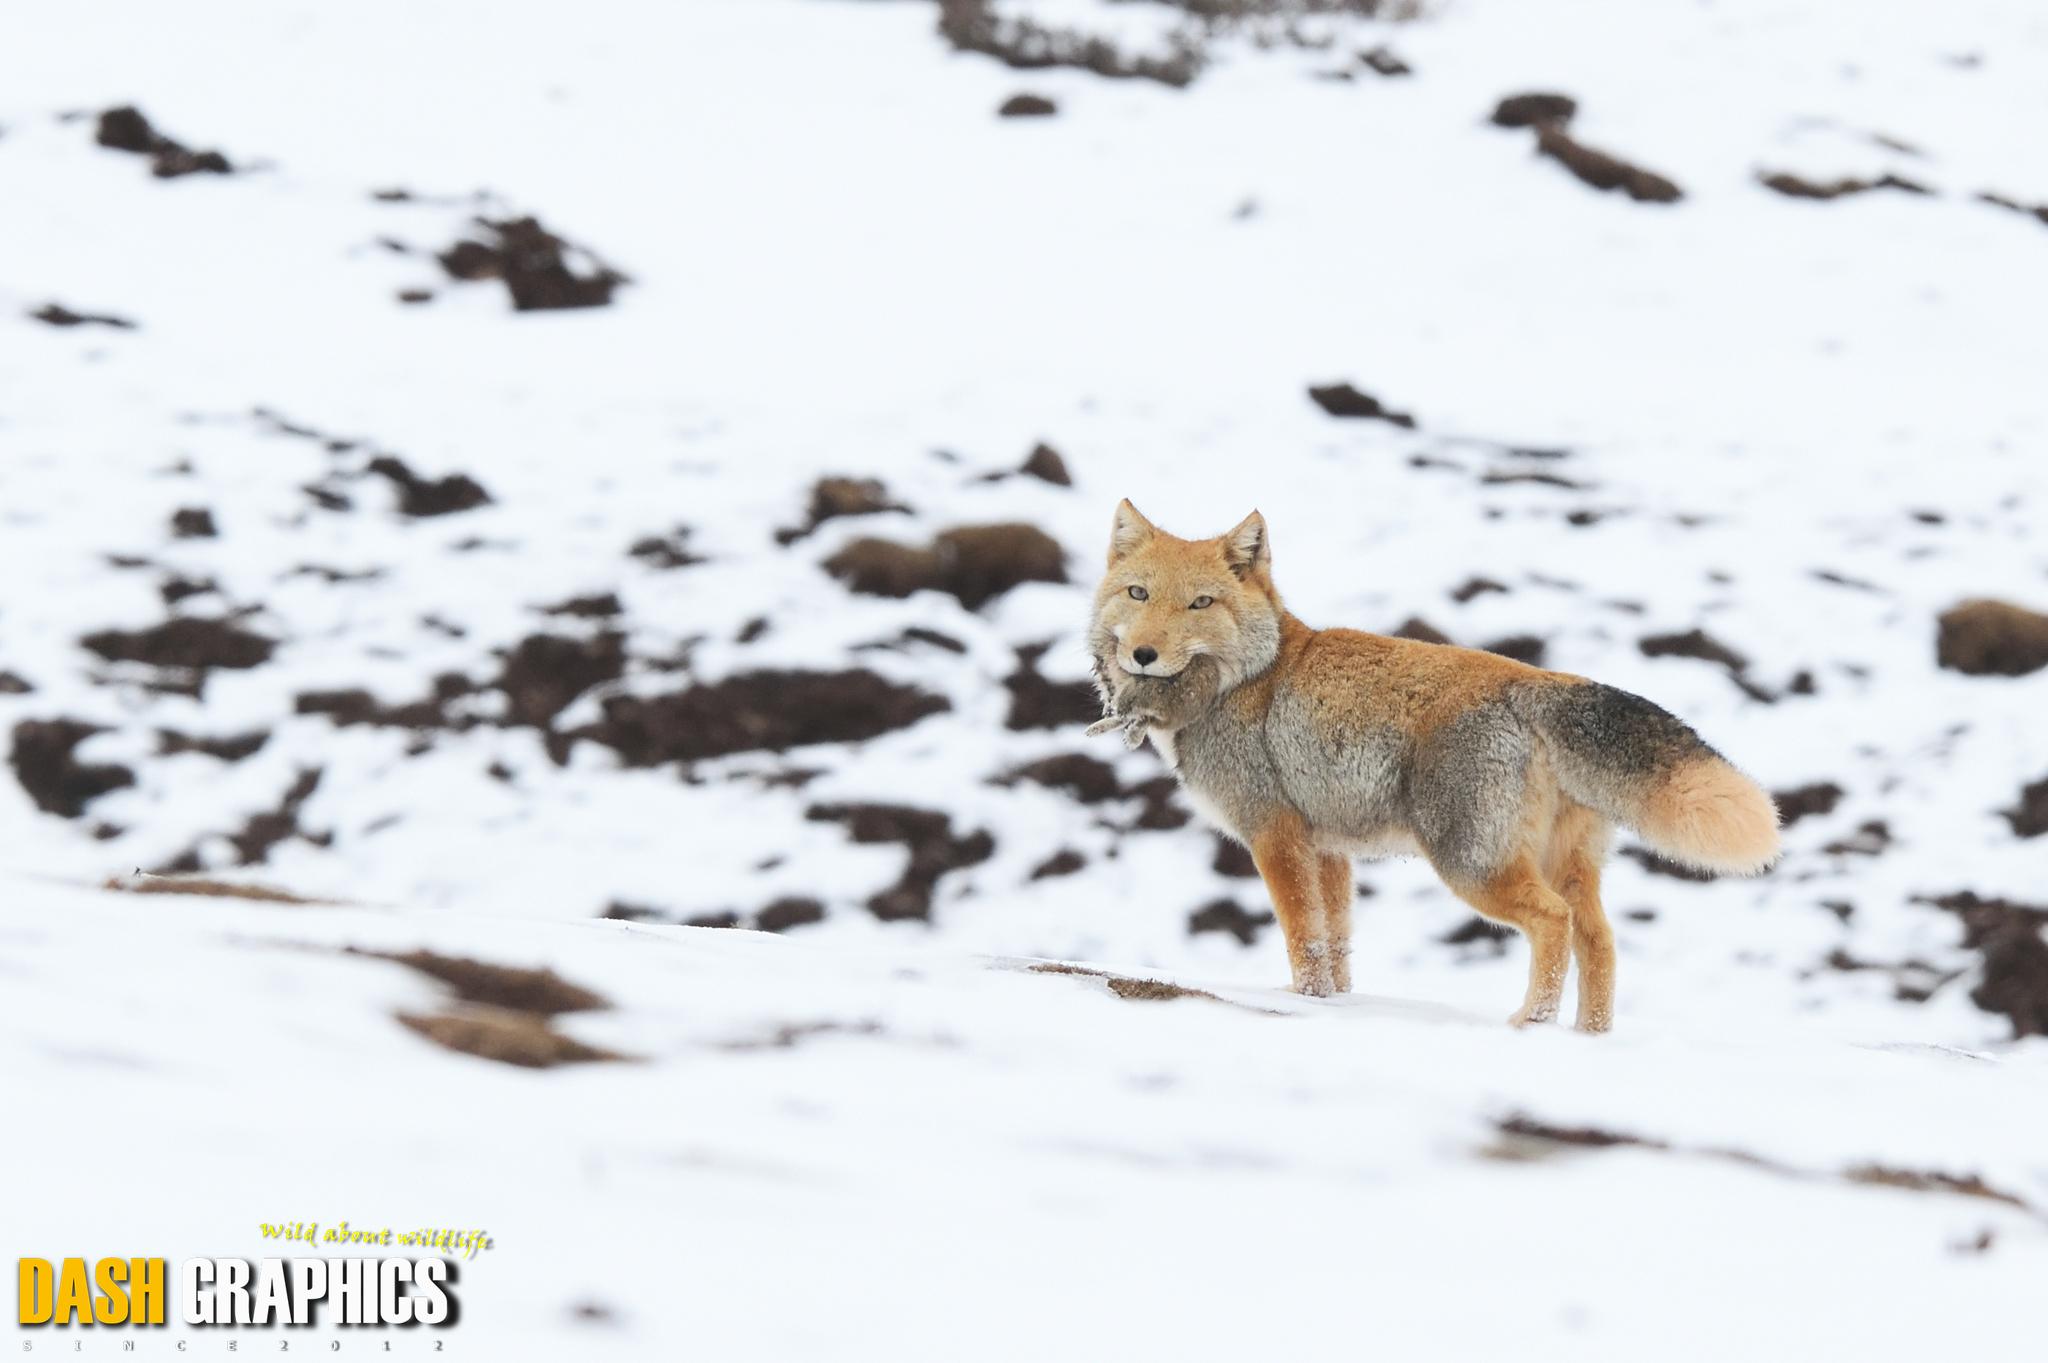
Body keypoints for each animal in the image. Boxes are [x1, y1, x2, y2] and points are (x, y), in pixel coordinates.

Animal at [1086, 500, 1780, 1032]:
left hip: (1471, 865)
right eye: (1139, 593)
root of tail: (1537, 679)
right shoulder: (1328, 849)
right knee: (1600, 942)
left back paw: (1531, 1024)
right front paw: (1334, 1006)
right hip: (1564, 866)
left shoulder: (1275, 837)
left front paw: (1305, 1005)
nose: (1143, 655)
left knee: (1552, 922)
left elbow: (1303, 940)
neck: (1248, 679)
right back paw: (1589, 1037)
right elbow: (1336, 948)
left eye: (1200, 603)